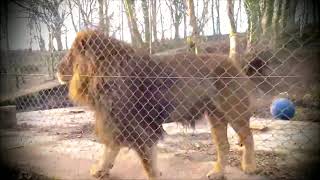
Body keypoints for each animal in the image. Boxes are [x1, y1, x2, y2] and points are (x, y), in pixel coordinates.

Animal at [57, 30, 258, 179]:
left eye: (69, 55)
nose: (57, 69)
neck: (100, 75)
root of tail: (232, 62)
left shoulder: (137, 126)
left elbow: (147, 162)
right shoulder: (116, 122)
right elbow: (110, 151)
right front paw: (100, 170)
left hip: (234, 110)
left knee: (248, 137)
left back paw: (249, 166)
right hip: (216, 115)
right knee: (223, 145)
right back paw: (217, 173)